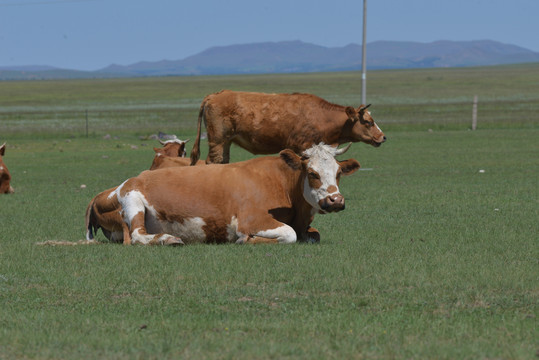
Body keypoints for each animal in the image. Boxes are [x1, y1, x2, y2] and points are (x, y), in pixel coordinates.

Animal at [103, 142, 360, 246]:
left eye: (338, 173)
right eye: (312, 173)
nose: (335, 200)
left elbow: (313, 235)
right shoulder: (252, 219)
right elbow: (290, 234)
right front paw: (247, 240)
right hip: (133, 201)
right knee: (137, 236)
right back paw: (169, 239)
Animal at [192, 90, 386, 165]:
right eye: (368, 122)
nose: (383, 136)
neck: (321, 116)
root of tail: (214, 95)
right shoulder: (301, 147)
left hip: (225, 143)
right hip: (218, 141)